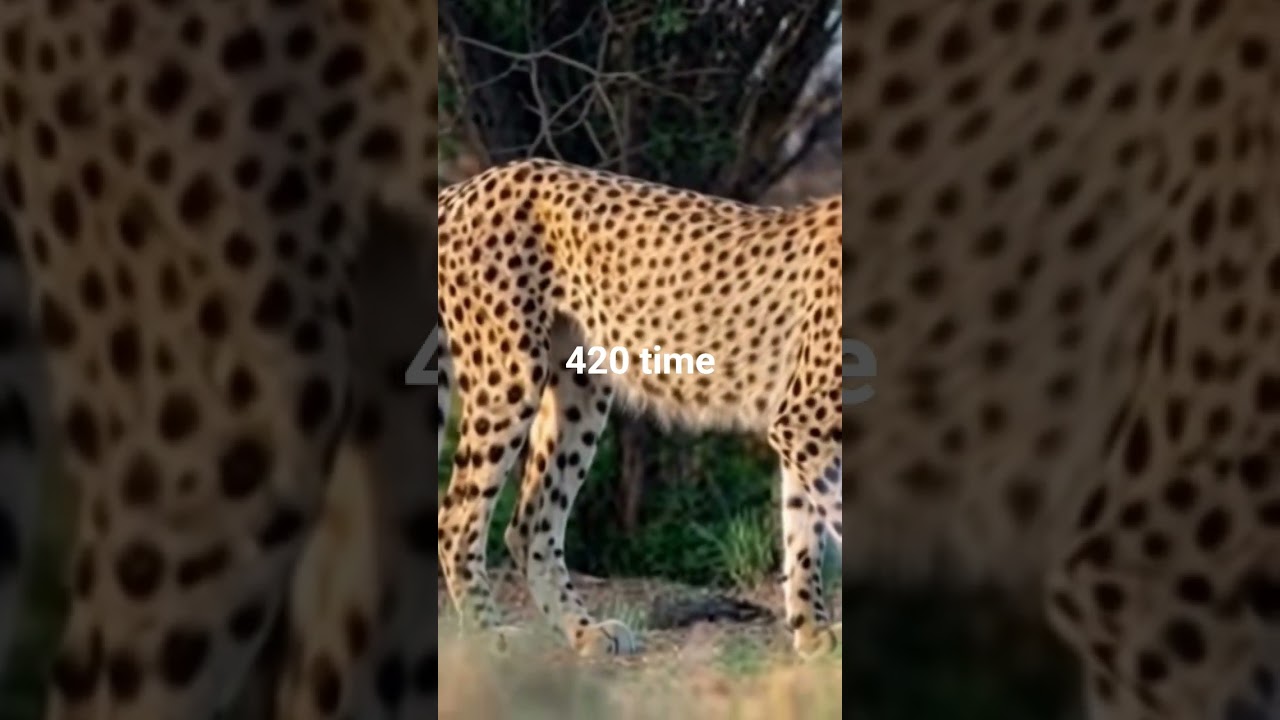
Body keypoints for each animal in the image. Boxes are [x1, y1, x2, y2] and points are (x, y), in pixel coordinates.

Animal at [435, 158, 844, 659]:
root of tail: (471, 184)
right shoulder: (806, 423)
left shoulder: (802, 427)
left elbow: (803, 531)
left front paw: (812, 633)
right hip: (510, 374)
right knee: (457, 519)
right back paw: (489, 635)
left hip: (580, 386)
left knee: (530, 525)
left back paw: (584, 631)